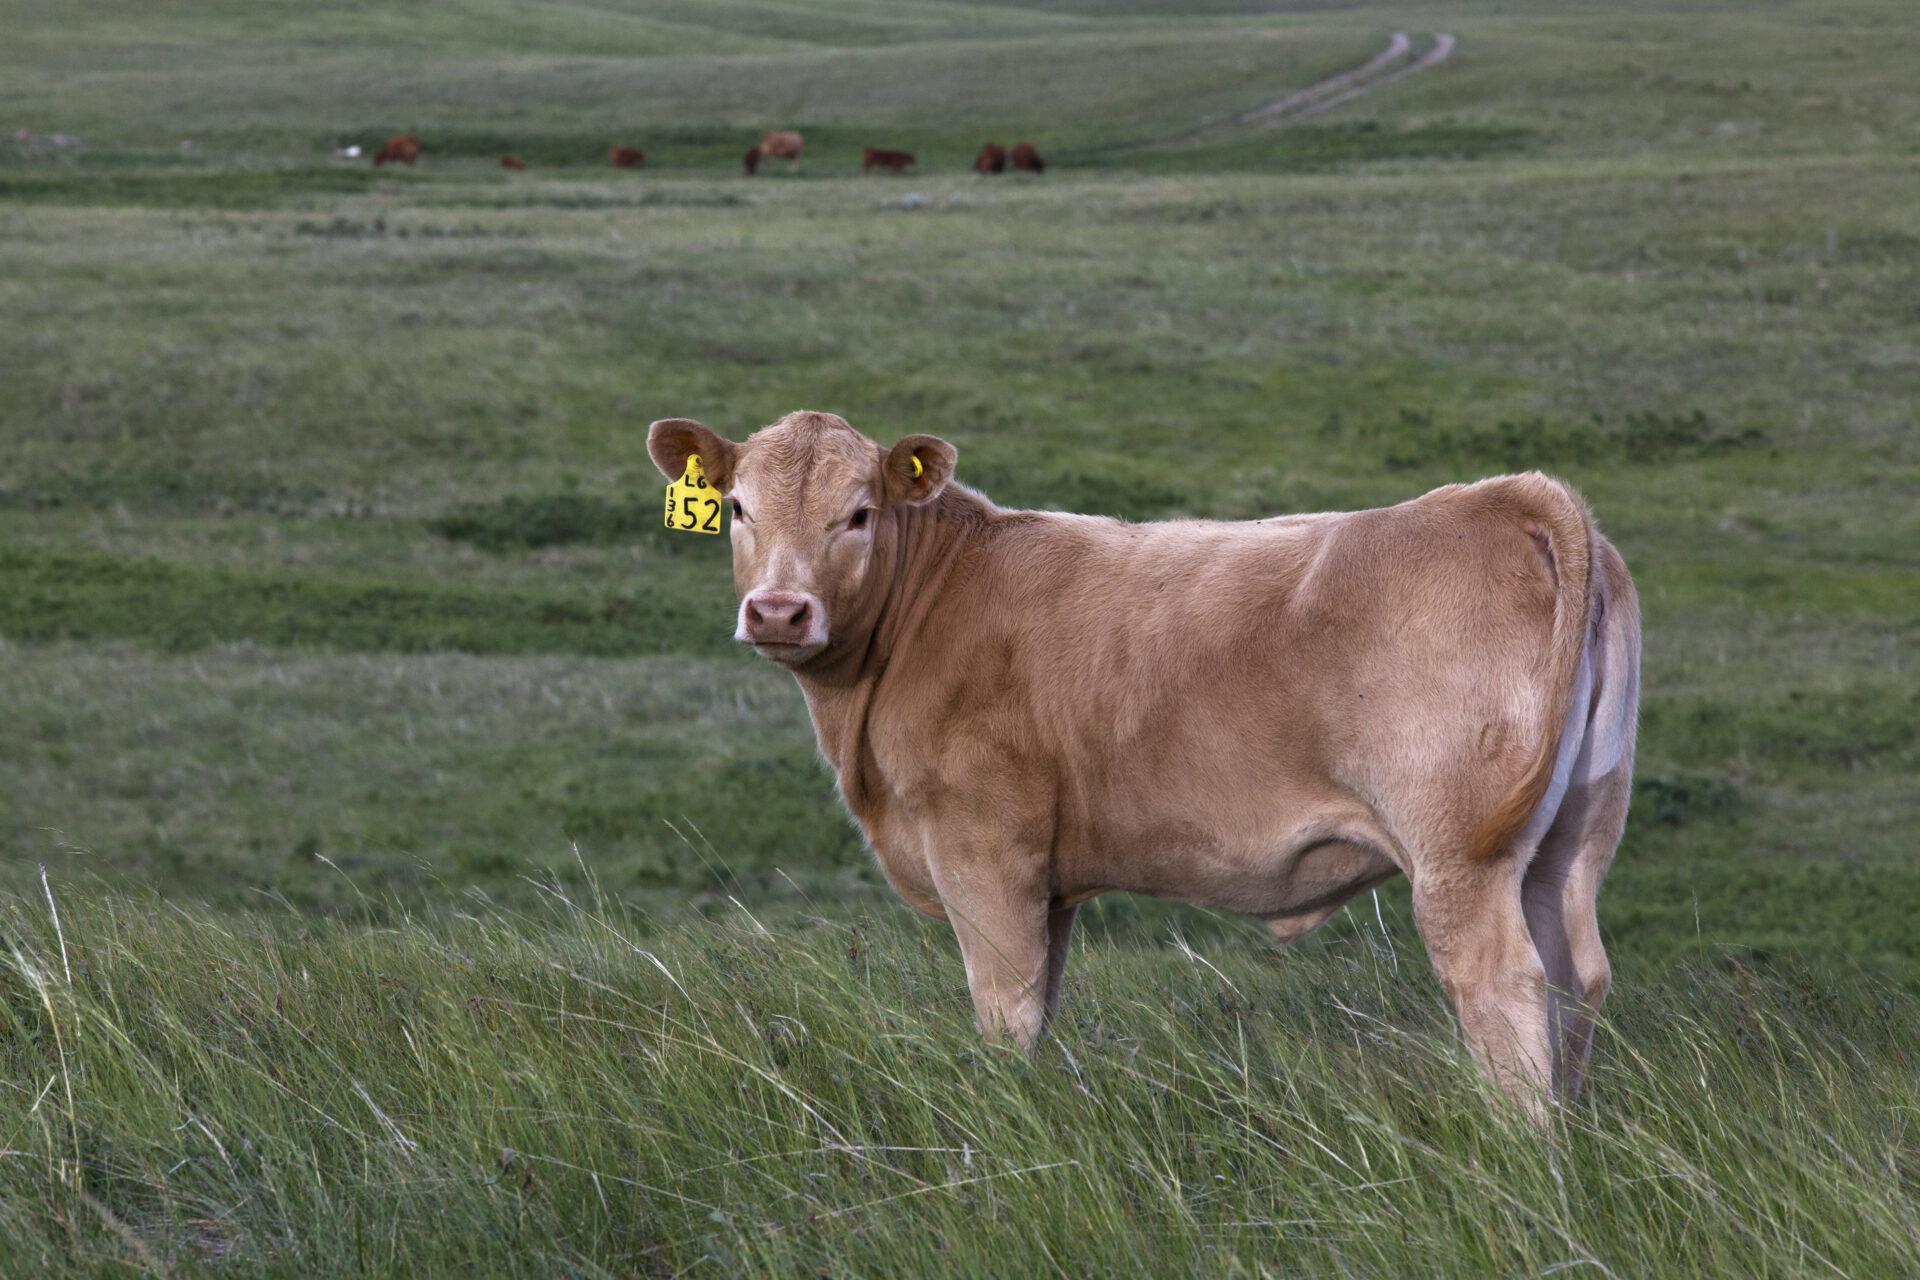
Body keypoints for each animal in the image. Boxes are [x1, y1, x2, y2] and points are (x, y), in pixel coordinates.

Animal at [648, 410, 1641, 1118]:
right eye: (737, 508)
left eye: (857, 514)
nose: (779, 611)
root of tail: (1505, 499)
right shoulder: (1049, 881)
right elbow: (1043, 1003)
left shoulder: (984, 849)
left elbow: (1006, 1010)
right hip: (1573, 833)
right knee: (1576, 975)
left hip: (1458, 852)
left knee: (1504, 985)